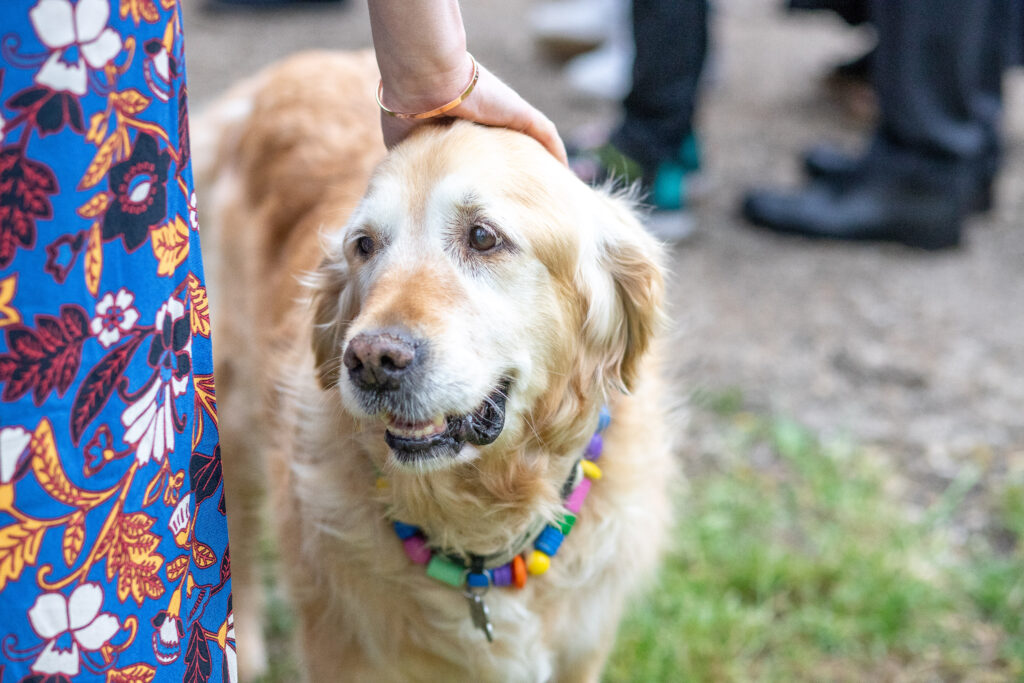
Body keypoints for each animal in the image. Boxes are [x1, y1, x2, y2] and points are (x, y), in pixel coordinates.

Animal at [195, 49, 675, 683]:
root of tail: (289, 68)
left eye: (483, 237)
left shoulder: (583, 650)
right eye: (364, 245)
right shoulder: (340, 650)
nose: (372, 360)